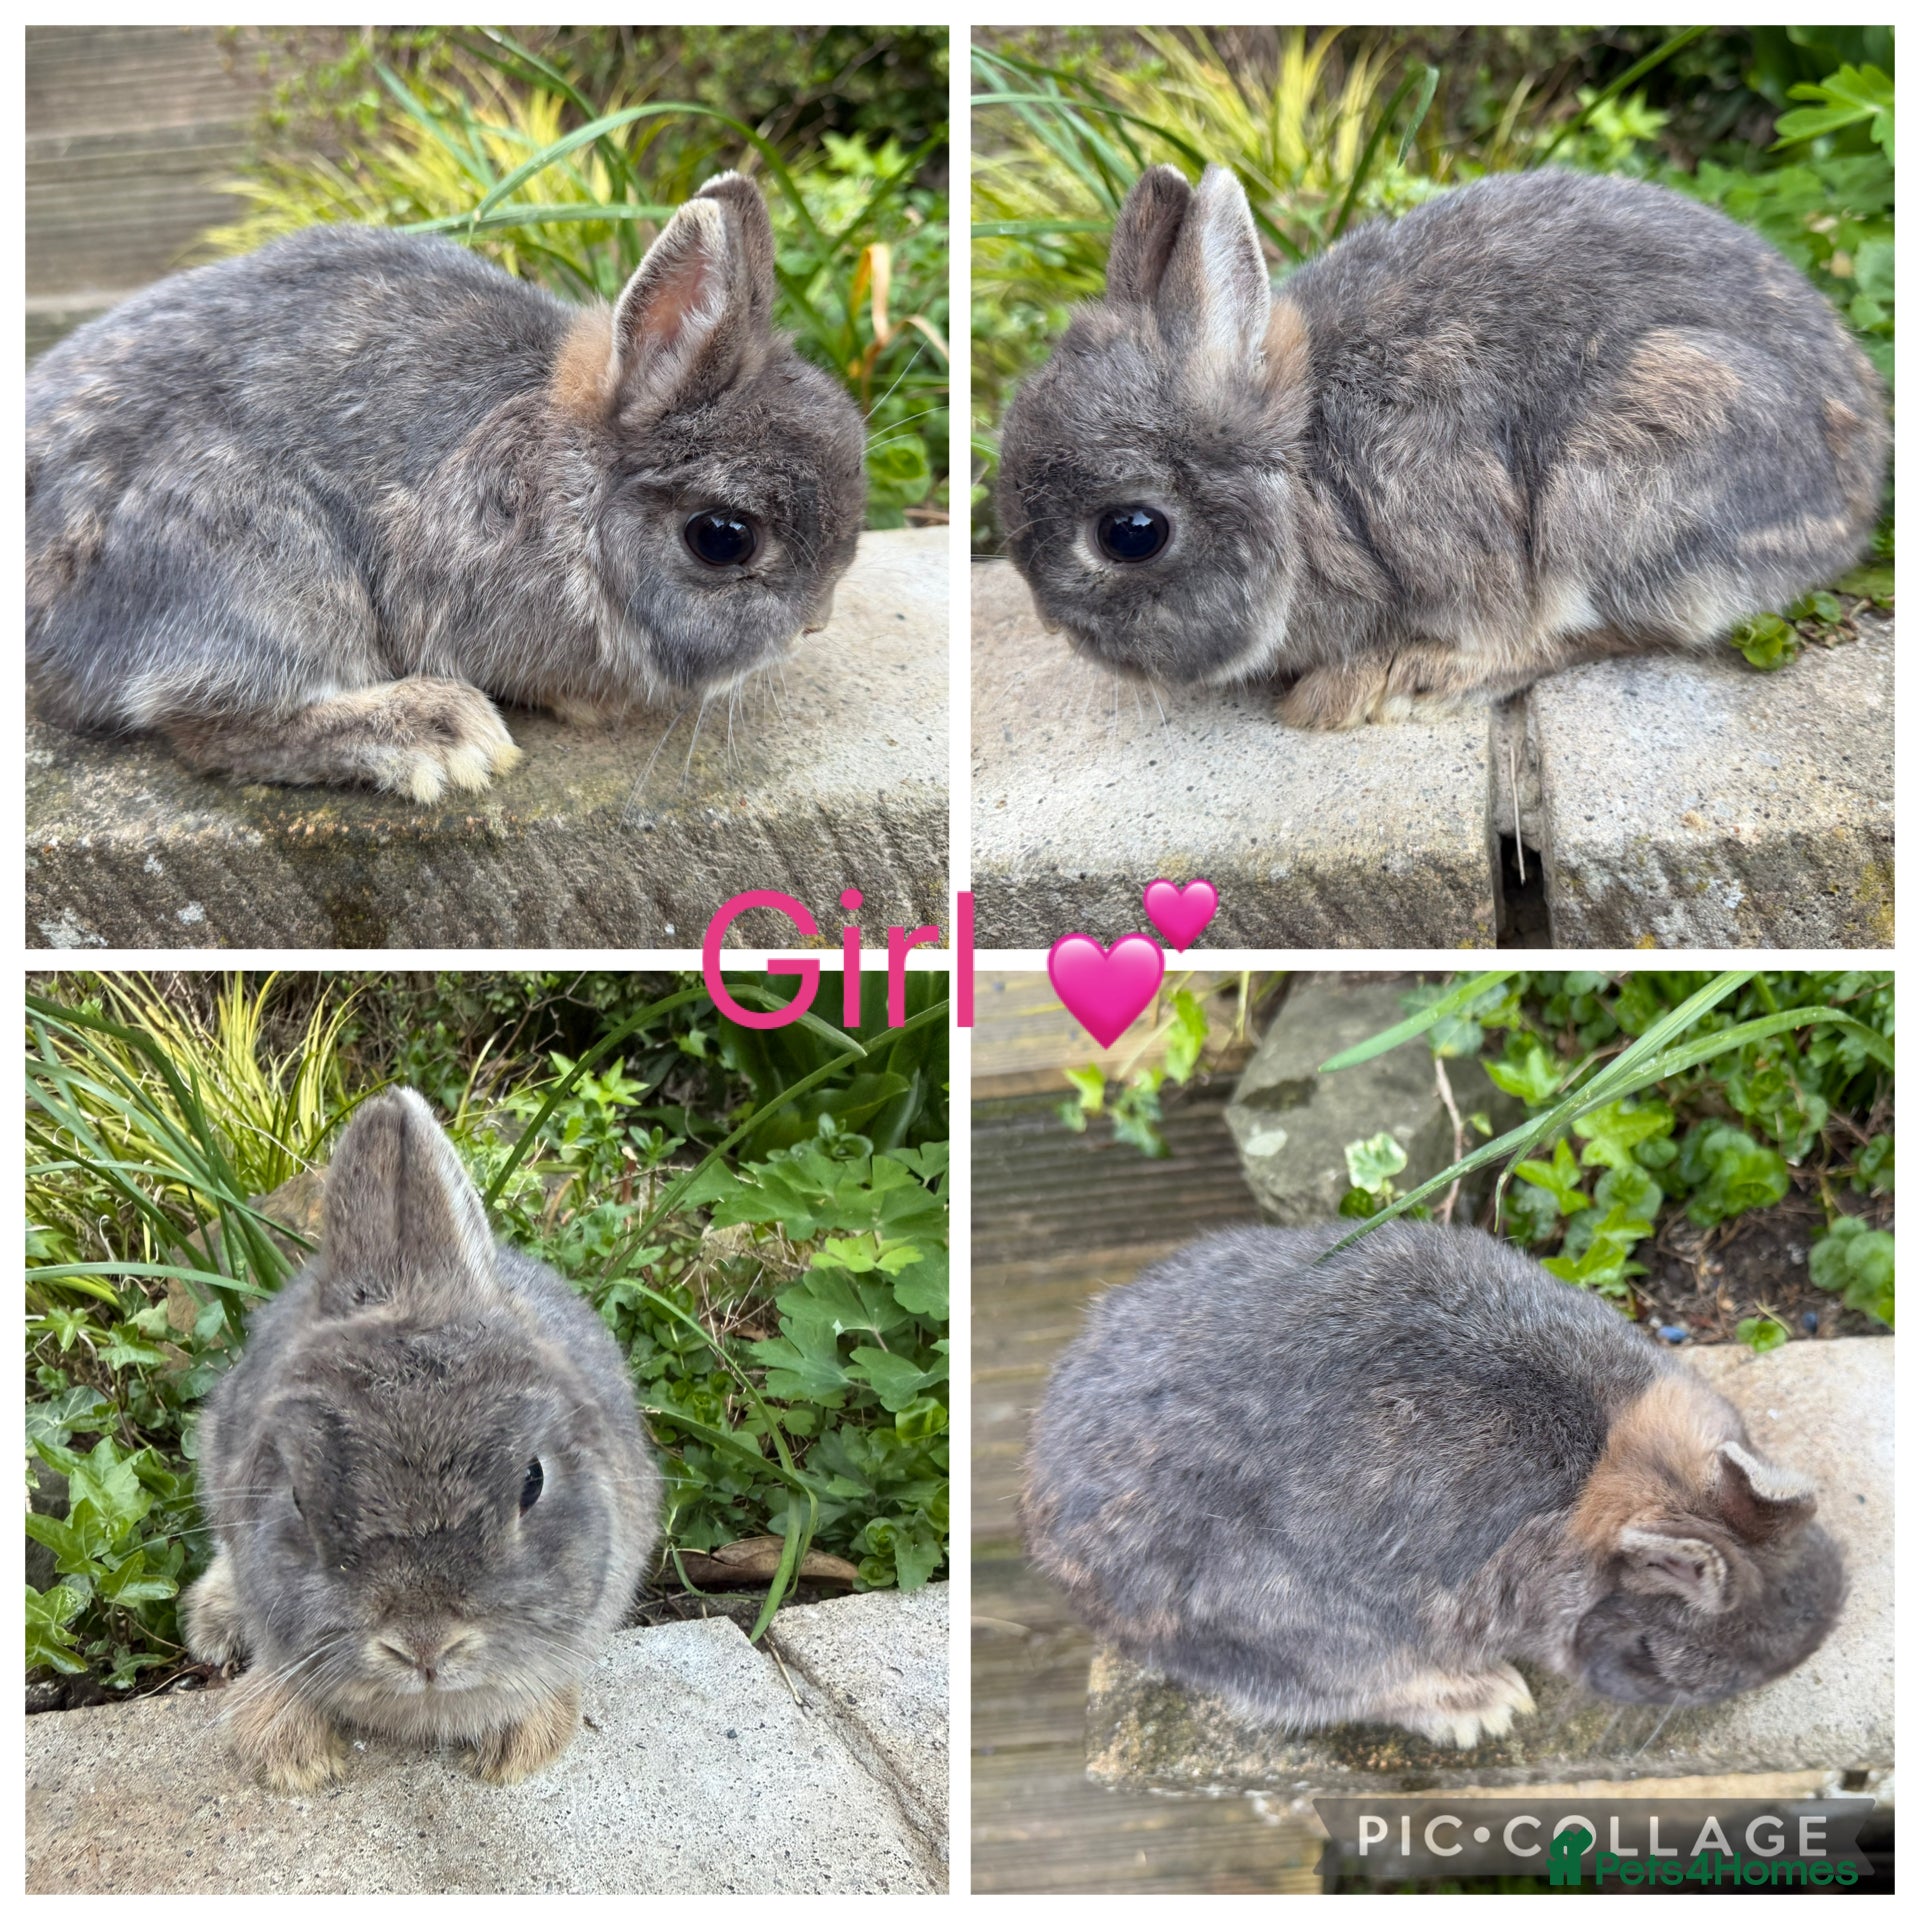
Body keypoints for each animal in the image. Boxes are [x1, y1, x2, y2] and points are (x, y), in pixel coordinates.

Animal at [26, 172, 867, 799]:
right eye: (723, 540)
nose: (817, 623)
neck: (569, 486)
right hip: (262, 559)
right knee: (213, 723)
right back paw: (443, 734)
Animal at [996, 165, 1889, 728]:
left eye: (1131, 533)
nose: (1055, 629)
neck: (1300, 462)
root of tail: (1860, 491)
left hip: (1637, 462)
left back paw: (1385, 684)